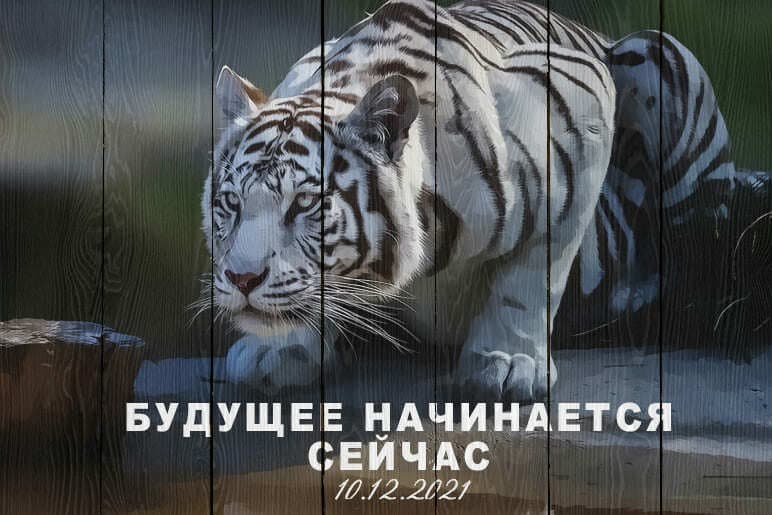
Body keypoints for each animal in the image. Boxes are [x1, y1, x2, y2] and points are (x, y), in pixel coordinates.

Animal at [202, 0, 758, 402]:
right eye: (230, 204)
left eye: (305, 205)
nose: (242, 280)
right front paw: (280, 348)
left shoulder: (582, 111)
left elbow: (532, 273)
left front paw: (507, 363)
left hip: (658, 55)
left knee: (698, 255)